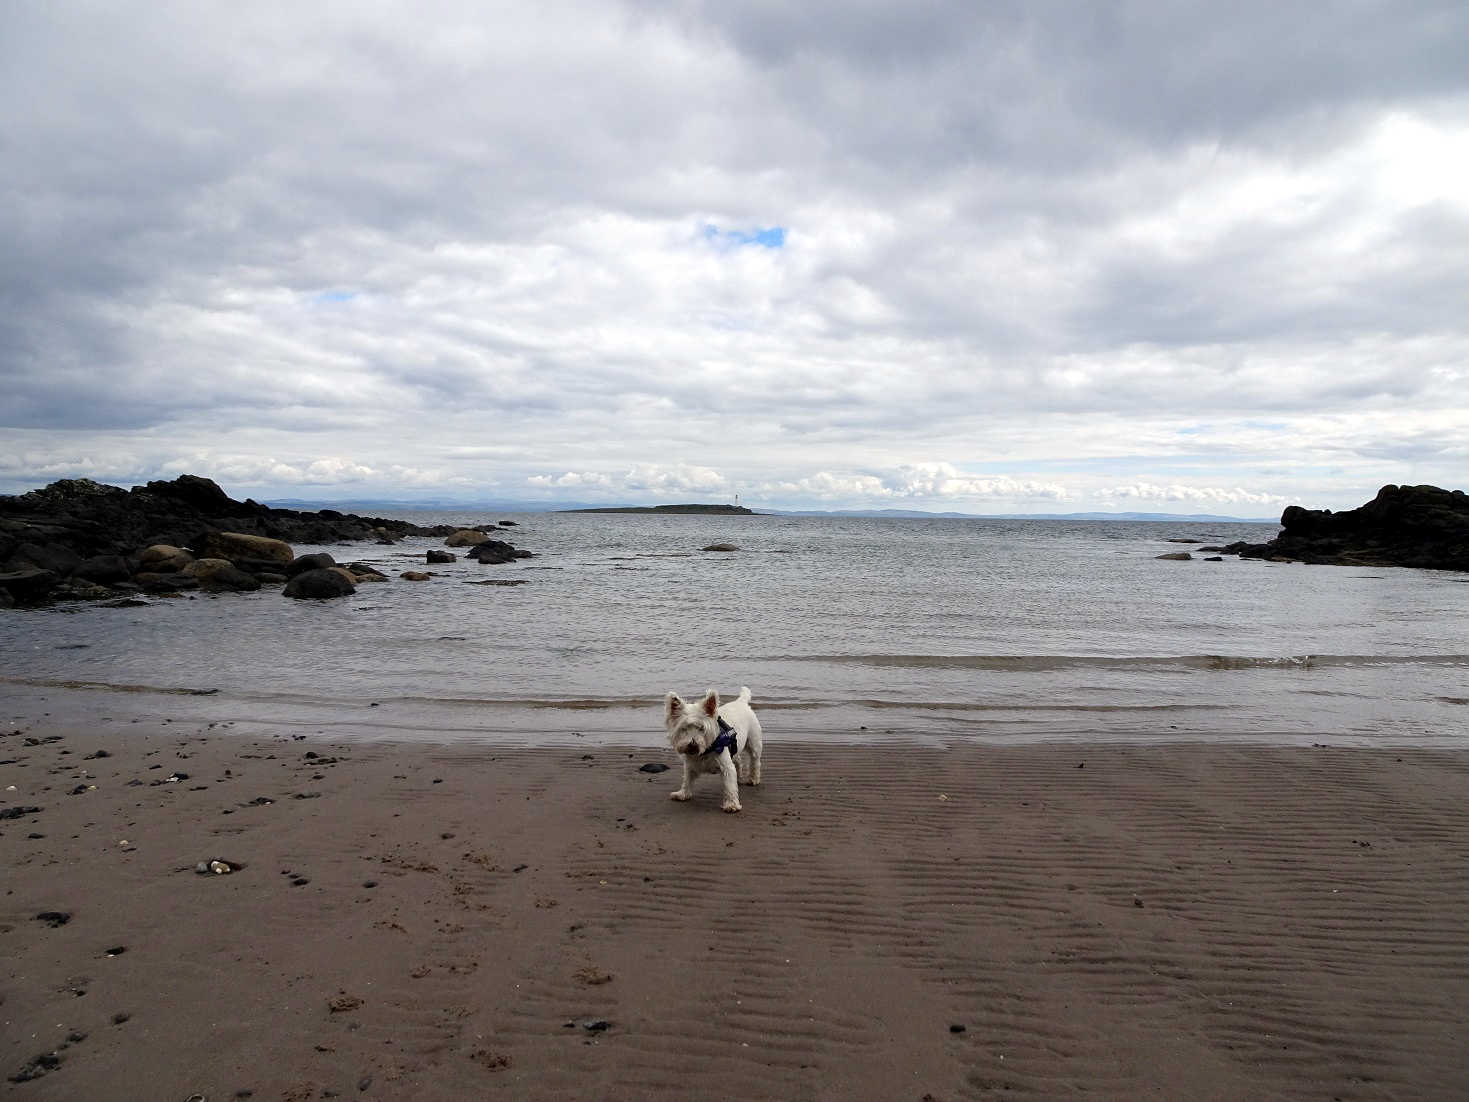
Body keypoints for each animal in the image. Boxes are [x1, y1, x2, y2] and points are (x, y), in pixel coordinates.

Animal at [661, 687, 763, 816]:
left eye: (702, 728)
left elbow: (729, 786)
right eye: (684, 728)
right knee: (738, 760)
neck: (706, 750)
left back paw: (753, 779)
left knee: (755, 761)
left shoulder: (726, 766)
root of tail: (741, 702)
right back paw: (739, 778)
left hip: (753, 743)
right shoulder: (690, 765)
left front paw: (731, 805)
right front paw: (682, 794)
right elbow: (687, 780)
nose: (693, 745)